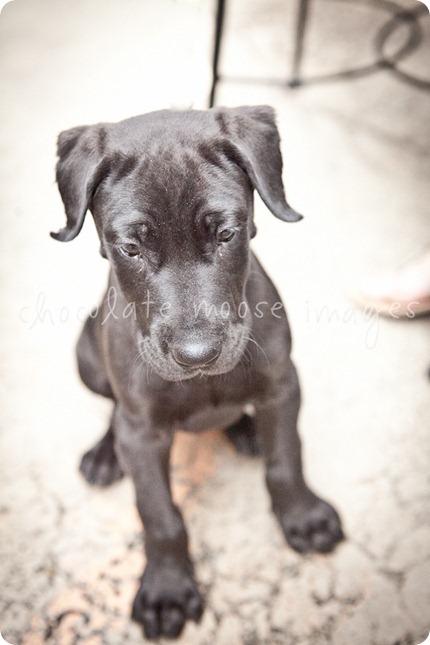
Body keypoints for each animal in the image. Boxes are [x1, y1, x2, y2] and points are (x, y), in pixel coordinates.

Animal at [53, 105, 342, 640]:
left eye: (226, 233)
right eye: (131, 248)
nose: (197, 354)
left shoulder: (282, 385)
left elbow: (286, 459)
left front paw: (304, 517)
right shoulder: (142, 431)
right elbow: (158, 514)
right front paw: (167, 590)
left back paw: (246, 430)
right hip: (85, 356)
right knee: (111, 410)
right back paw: (105, 455)